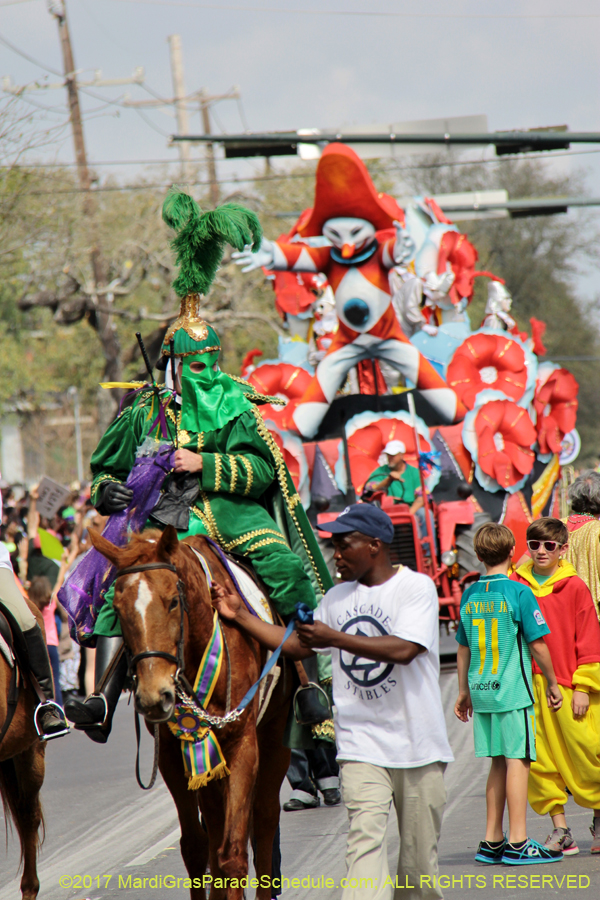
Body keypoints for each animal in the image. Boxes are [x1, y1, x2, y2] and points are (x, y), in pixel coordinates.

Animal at [89, 524, 292, 896]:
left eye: (172, 601)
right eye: (118, 610)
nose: (155, 696)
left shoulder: (243, 744)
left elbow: (233, 852)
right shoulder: (174, 756)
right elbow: (197, 848)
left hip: (276, 736)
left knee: (265, 819)